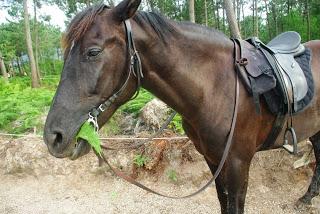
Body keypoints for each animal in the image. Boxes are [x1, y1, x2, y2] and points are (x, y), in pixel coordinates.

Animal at [43, 0, 320, 213]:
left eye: (93, 52)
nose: (53, 137)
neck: (215, 87)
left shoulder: (238, 162)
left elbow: (234, 205)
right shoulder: (213, 158)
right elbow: (223, 201)